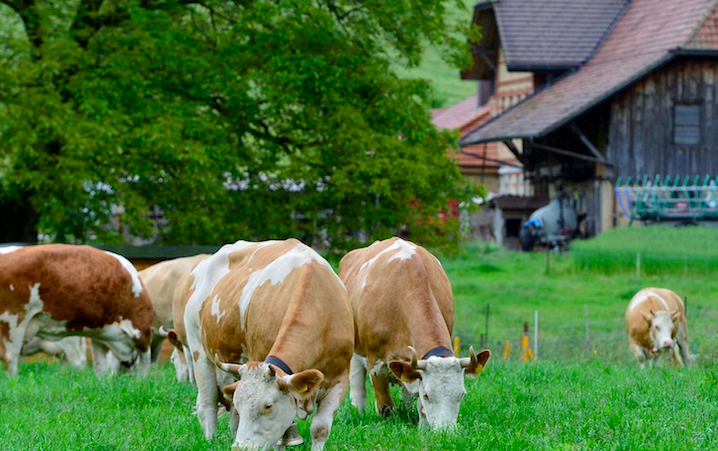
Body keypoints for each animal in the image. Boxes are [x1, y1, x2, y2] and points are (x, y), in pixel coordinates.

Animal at [0, 245, 156, 376]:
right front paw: (141, 381)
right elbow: (145, 362)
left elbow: (100, 365)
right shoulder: (141, 330)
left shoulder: (99, 335)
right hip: (13, 321)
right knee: (10, 357)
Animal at [175, 238, 354, 450]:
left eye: (268, 406)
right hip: (199, 352)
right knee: (207, 406)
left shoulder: (339, 379)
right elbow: (280, 439)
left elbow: (320, 429)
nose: (241, 448)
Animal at [340, 237, 492, 430]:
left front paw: (423, 428)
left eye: (461, 395)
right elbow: (385, 407)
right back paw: (358, 412)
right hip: (355, 352)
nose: (446, 432)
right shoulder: (376, 364)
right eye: (427, 395)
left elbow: (420, 406)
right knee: (358, 388)